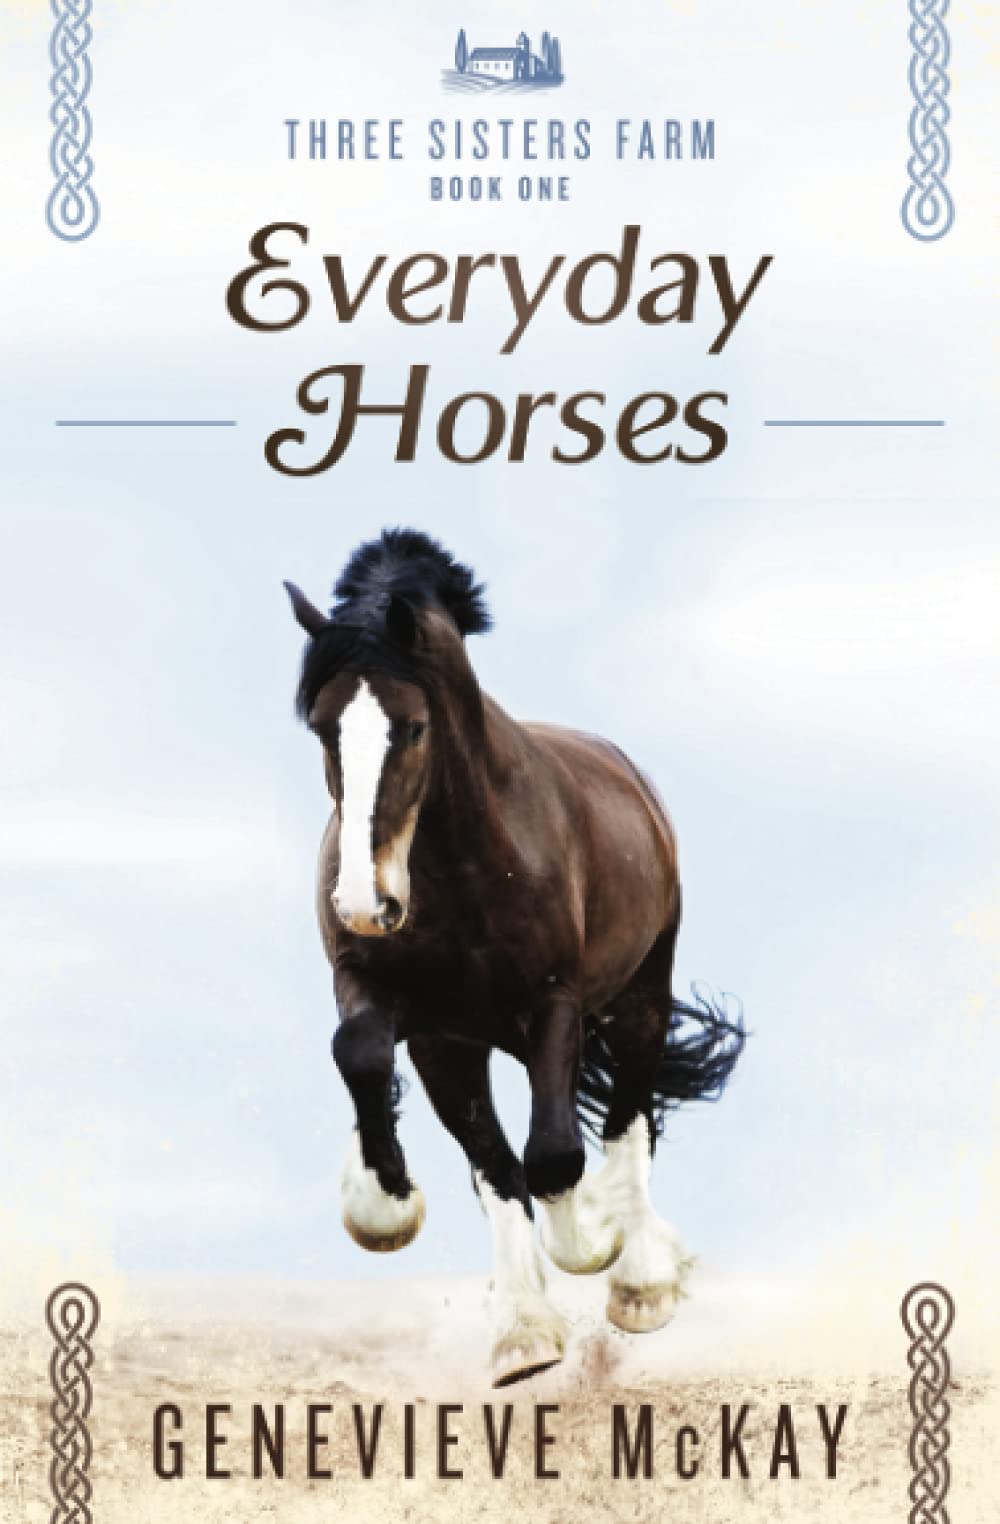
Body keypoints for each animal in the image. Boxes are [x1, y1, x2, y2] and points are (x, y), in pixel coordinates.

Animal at [285, 528, 744, 1386]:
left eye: (413, 727)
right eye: (324, 729)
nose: (366, 903)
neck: (461, 869)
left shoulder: (552, 1003)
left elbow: (556, 1154)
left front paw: (595, 1238)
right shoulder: (413, 1017)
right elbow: (374, 1065)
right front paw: (385, 1207)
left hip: (640, 995)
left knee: (628, 1118)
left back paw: (642, 1278)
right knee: (507, 1158)